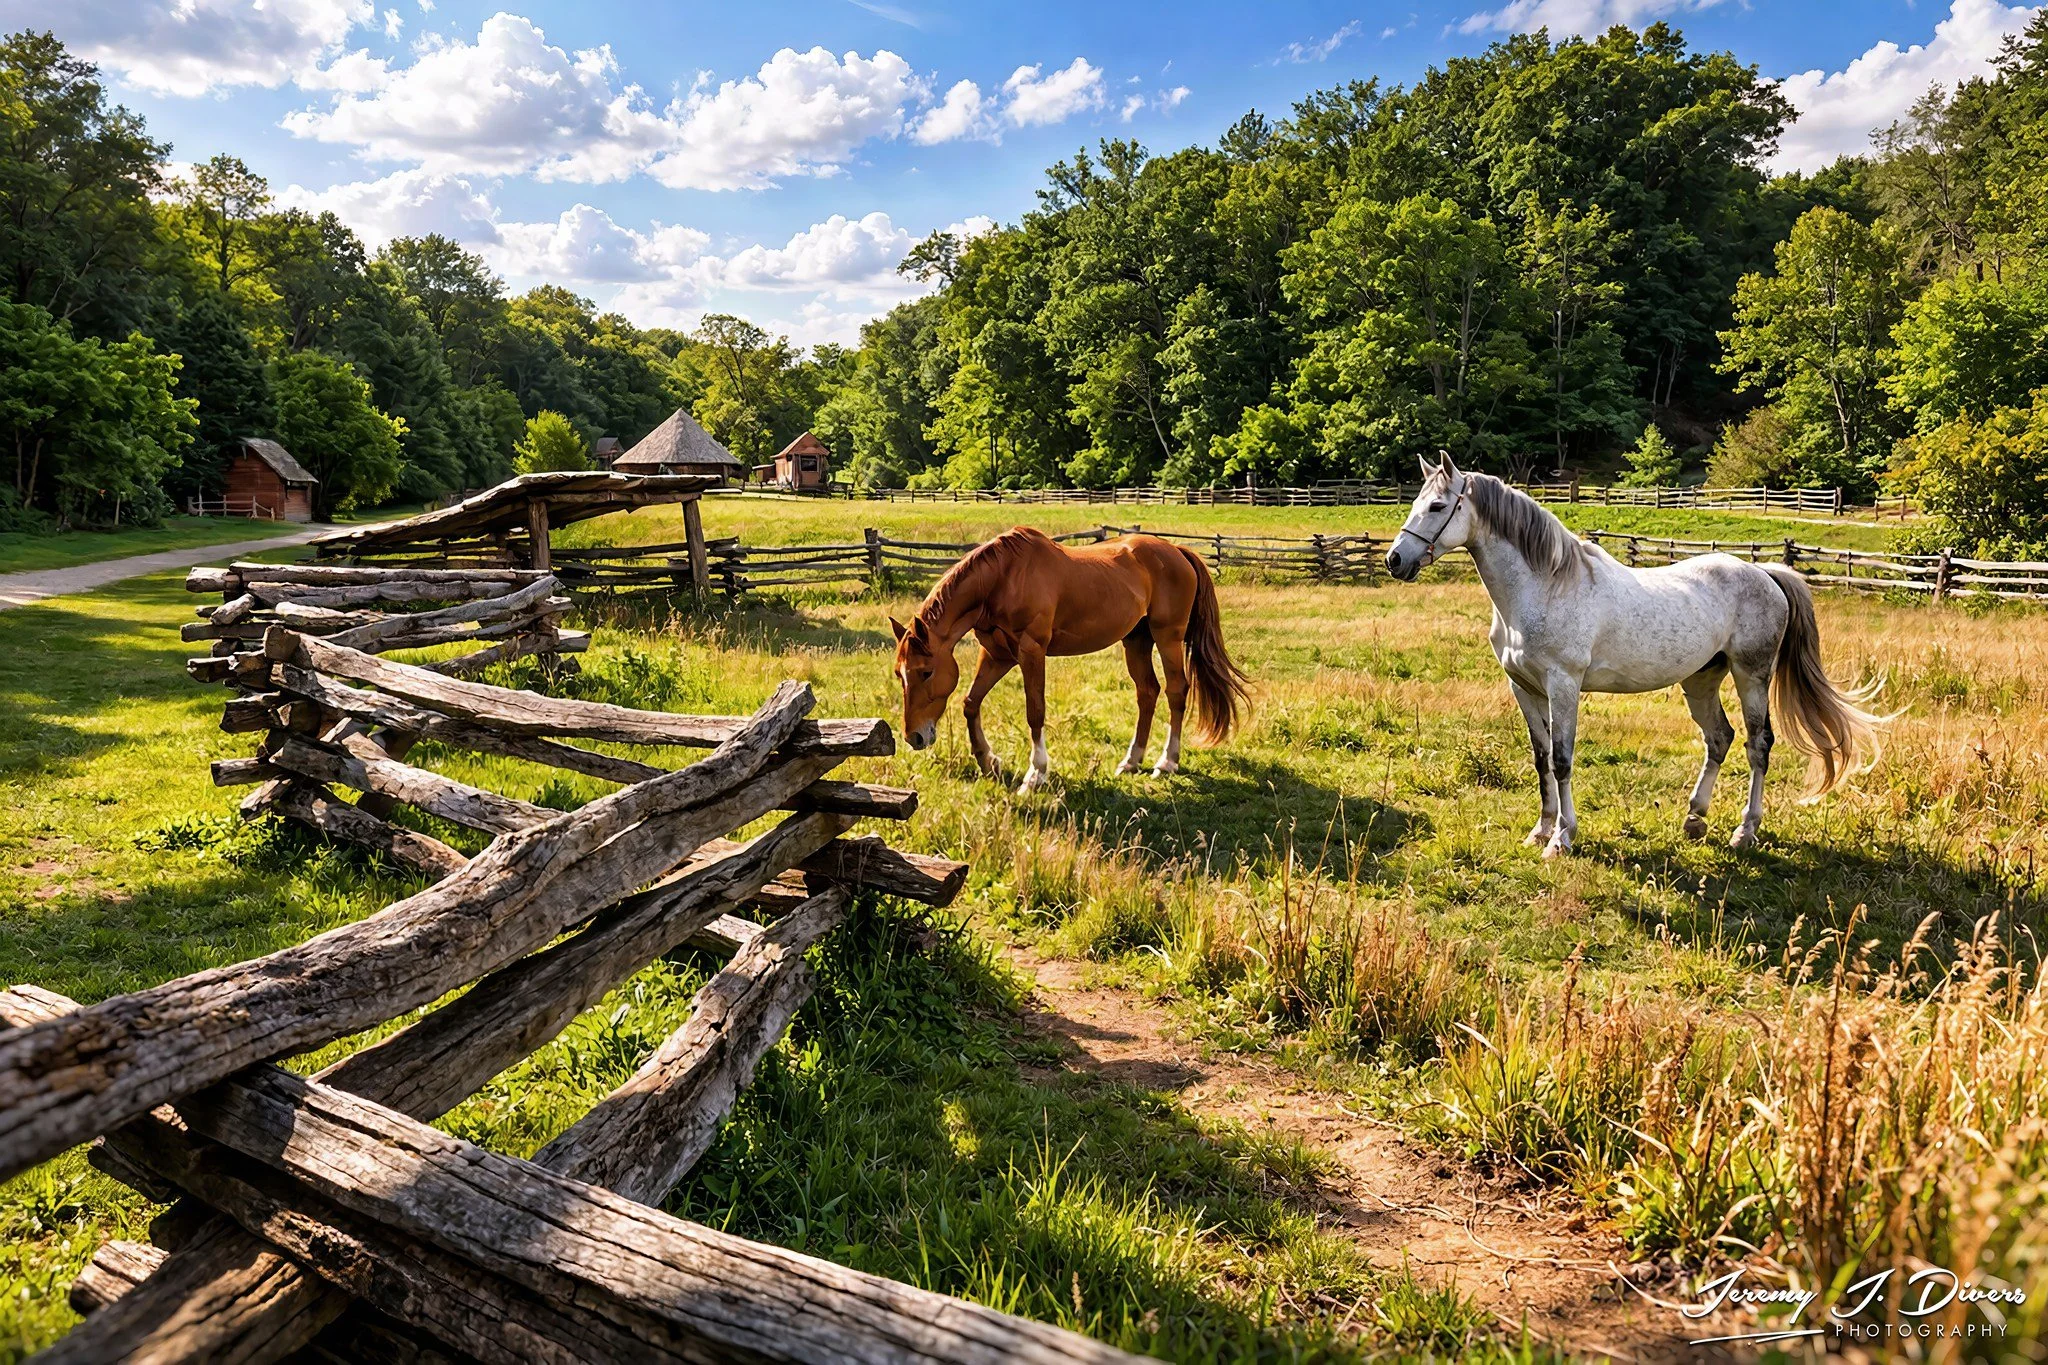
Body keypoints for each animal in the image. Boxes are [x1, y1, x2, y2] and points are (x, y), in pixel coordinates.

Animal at [891, 527, 1251, 794]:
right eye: (899, 674)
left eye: (926, 672)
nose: (914, 737)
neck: (1003, 579)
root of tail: (1177, 551)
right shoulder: (997, 654)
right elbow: (970, 702)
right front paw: (988, 761)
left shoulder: (1031, 651)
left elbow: (1035, 711)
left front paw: (1035, 774)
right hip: (1137, 640)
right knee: (1147, 692)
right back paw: (1131, 761)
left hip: (1168, 637)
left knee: (1176, 691)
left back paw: (1166, 762)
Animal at [1383, 454, 1885, 856]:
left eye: (1437, 506)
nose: (1395, 560)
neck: (1545, 585)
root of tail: (1765, 573)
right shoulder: (1523, 687)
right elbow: (1541, 758)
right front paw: (1539, 831)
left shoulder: (1563, 685)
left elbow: (1562, 759)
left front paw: (1562, 838)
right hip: (1701, 679)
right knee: (1719, 738)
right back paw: (1694, 818)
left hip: (1751, 676)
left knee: (1758, 745)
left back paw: (1745, 832)